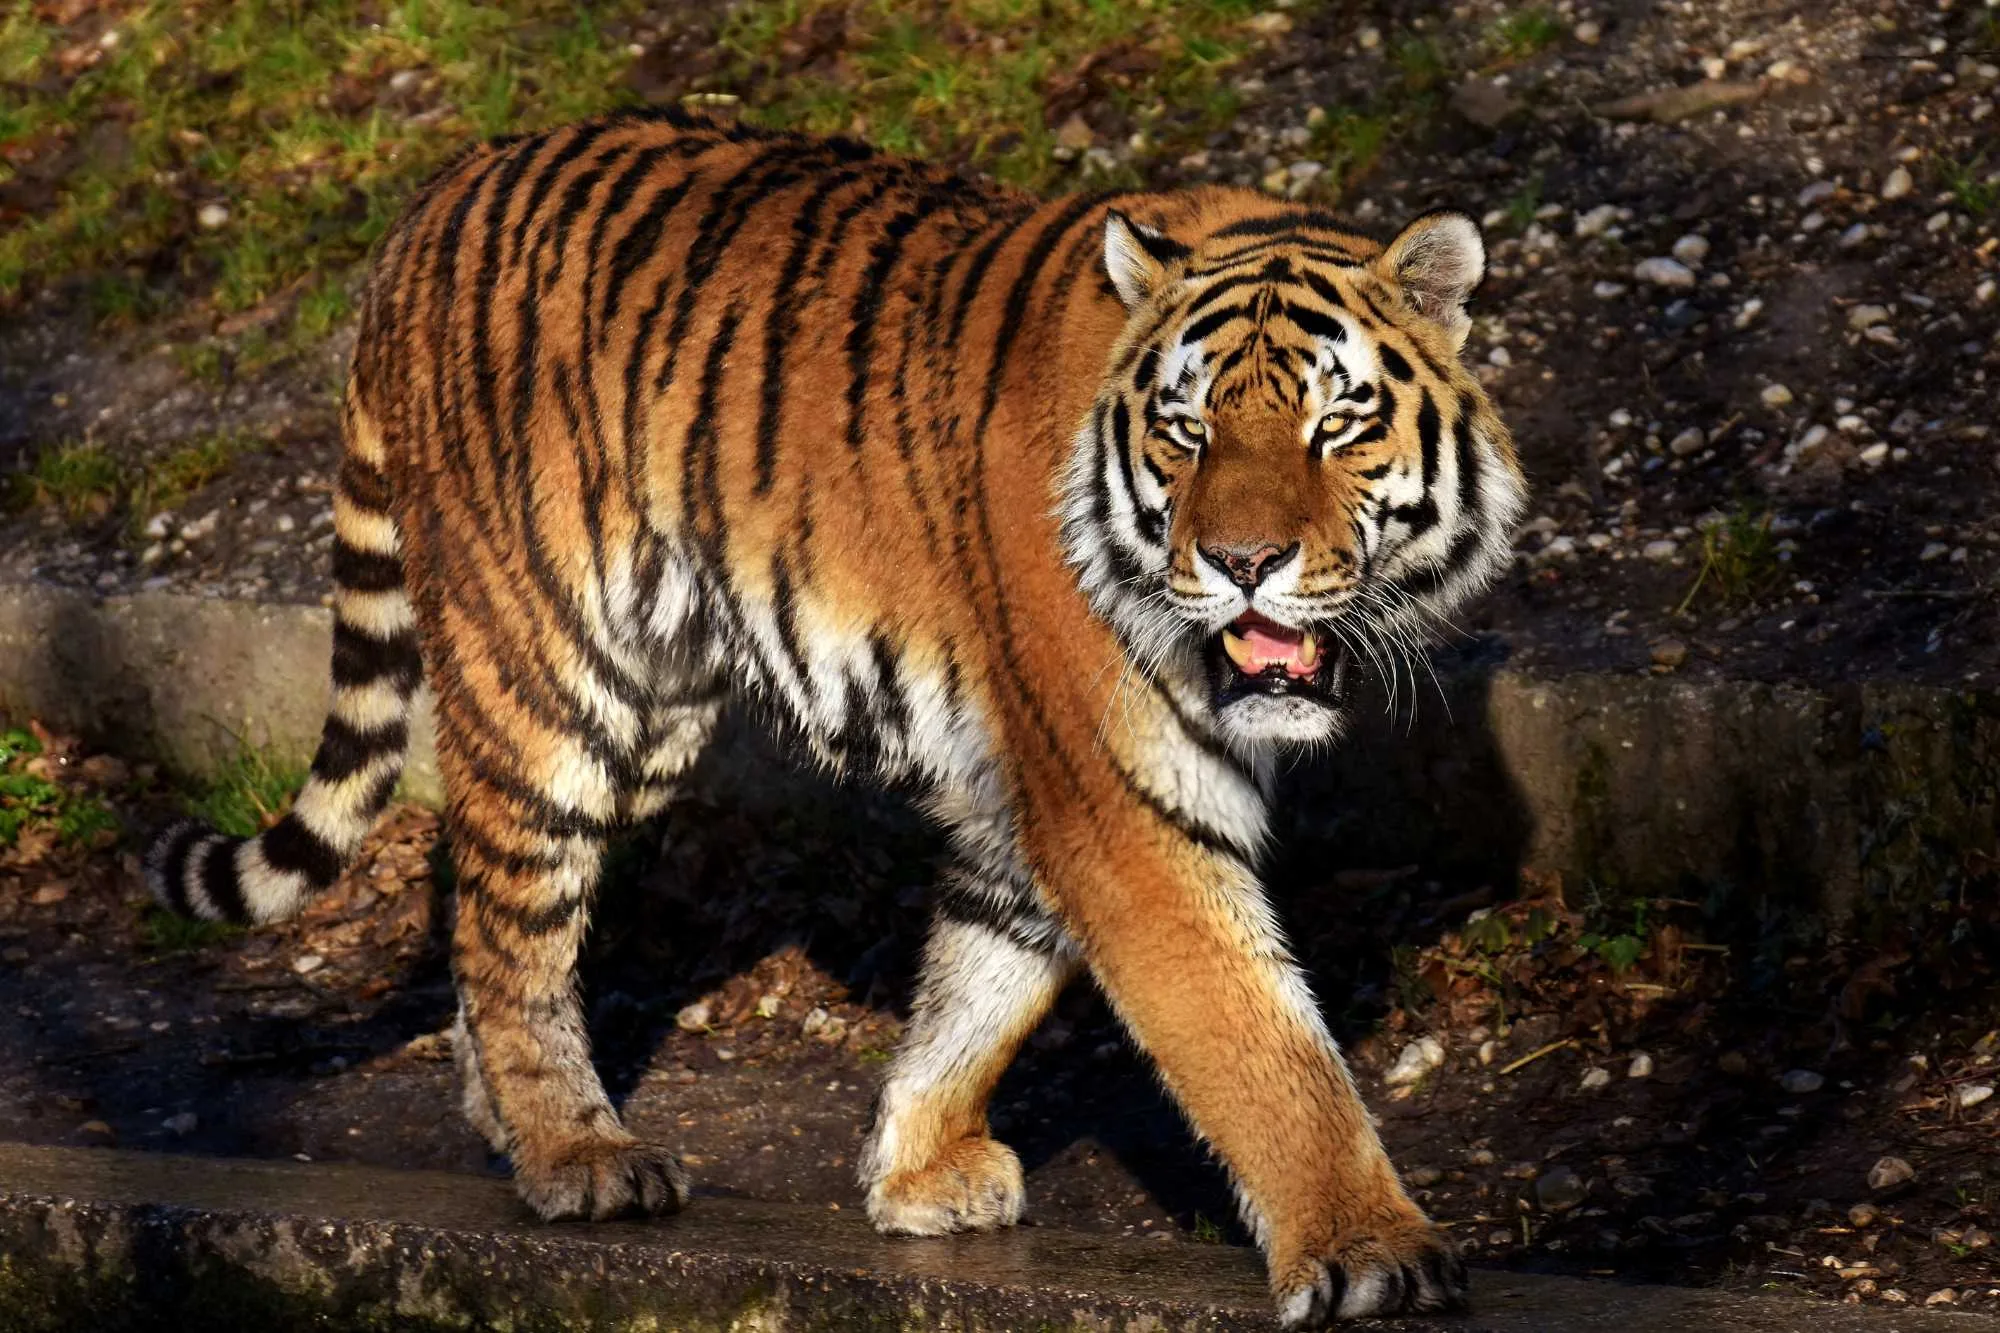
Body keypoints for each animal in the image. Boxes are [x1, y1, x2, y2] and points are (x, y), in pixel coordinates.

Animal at [145, 108, 1524, 1326]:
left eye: (1335, 422)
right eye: (1185, 431)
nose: (1240, 563)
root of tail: (433, 199)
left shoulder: (1029, 792)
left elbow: (981, 978)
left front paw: (913, 1170)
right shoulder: (1119, 797)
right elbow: (1257, 1042)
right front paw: (1368, 1253)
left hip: (654, 708)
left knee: (481, 897)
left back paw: (506, 1118)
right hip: (549, 676)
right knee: (512, 916)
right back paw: (575, 1155)